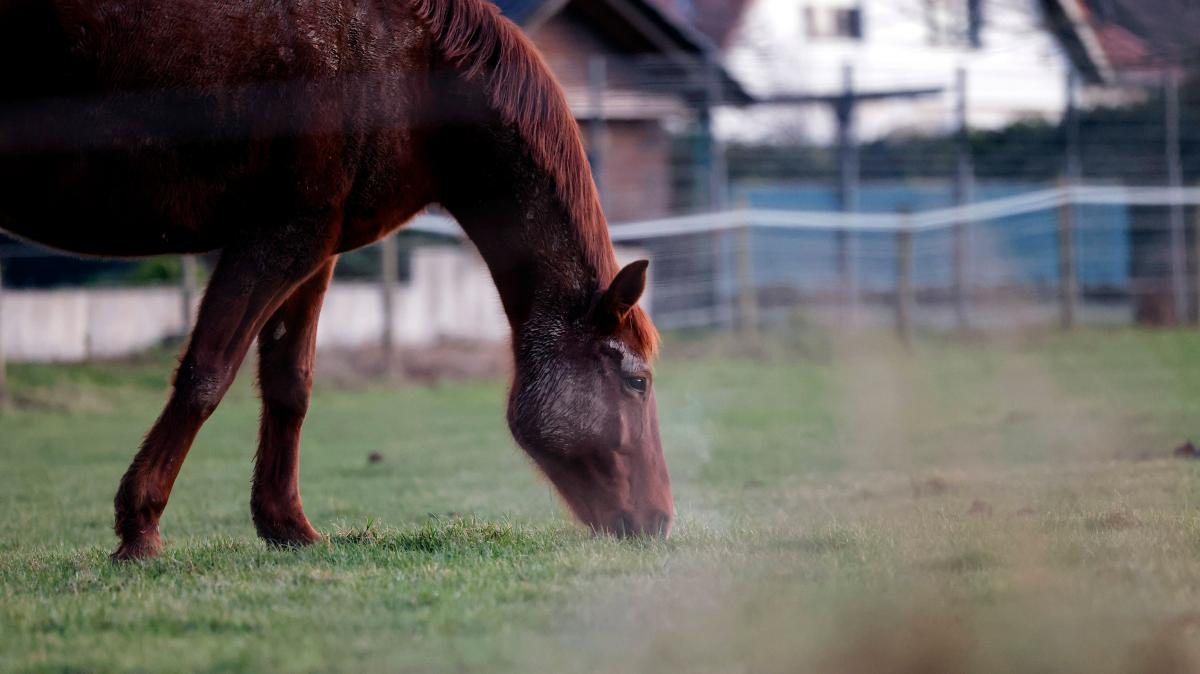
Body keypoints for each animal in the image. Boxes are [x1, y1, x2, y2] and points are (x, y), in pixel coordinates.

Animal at [0, 0, 673, 560]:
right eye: (636, 382)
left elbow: (289, 384)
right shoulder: (276, 236)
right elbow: (206, 375)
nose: (661, 520)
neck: (414, 69)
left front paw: (286, 526)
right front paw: (139, 529)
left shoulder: (314, 249)